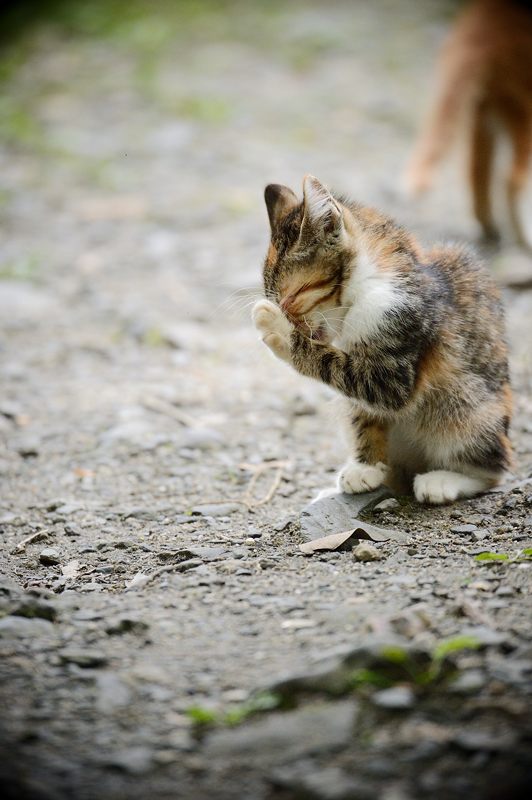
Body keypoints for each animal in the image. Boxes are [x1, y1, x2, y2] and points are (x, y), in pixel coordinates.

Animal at [252, 177, 512, 506]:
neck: (366, 286)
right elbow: (364, 410)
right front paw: (367, 466)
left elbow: (341, 369)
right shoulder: (362, 386)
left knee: (494, 468)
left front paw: (278, 328)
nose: (284, 313)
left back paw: (445, 479)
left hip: (468, 403)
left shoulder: (395, 368)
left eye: (292, 297)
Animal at [406, 0, 528, 248]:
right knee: (513, 178)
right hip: (519, 107)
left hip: (484, 110)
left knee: (476, 169)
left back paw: (490, 228)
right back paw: (522, 240)